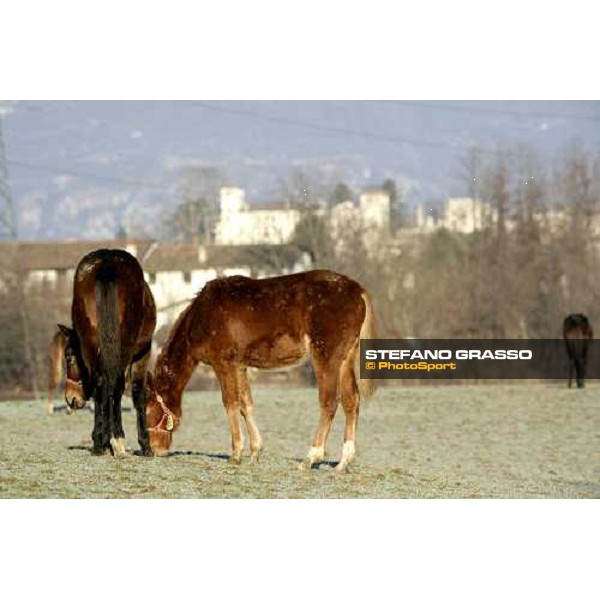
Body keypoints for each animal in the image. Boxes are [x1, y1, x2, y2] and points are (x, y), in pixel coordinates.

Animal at [58, 248, 156, 454]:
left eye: (69, 358)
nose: (70, 398)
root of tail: (107, 265)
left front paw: (104, 439)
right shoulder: (143, 353)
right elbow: (137, 393)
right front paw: (144, 444)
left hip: (91, 344)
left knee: (101, 383)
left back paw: (99, 443)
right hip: (124, 349)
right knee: (115, 385)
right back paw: (118, 439)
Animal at [146, 270, 376, 472]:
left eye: (149, 411)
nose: (155, 450)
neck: (203, 315)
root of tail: (358, 291)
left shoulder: (223, 364)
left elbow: (230, 403)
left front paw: (236, 454)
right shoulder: (240, 365)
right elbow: (245, 405)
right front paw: (255, 452)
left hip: (325, 357)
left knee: (329, 402)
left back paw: (310, 458)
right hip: (345, 359)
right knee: (351, 401)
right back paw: (343, 463)